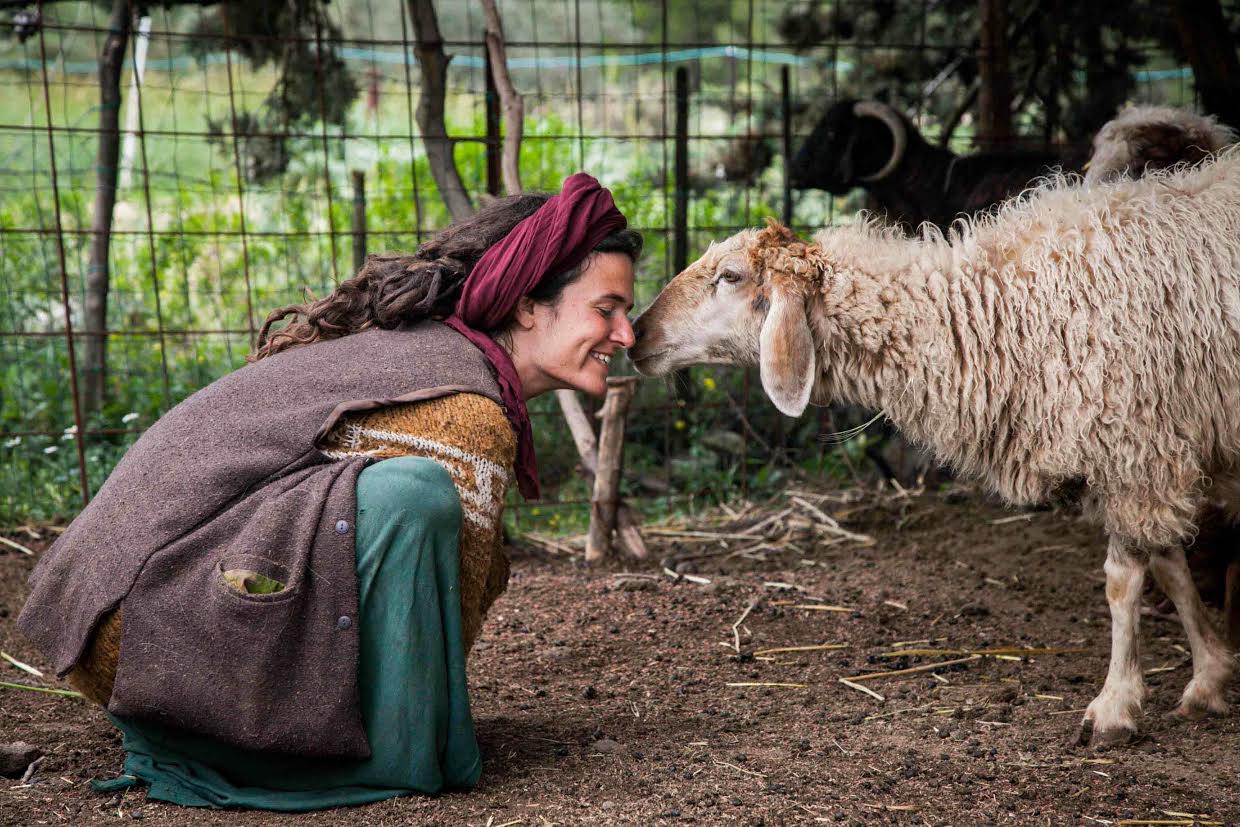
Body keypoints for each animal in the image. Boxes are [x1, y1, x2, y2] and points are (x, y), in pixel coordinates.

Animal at [634, 150, 1240, 748]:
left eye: (730, 276)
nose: (638, 333)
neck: (1006, 311)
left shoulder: (1135, 446)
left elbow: (1124, 581)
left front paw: (1115, 706)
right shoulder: (1149, 449)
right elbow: (1170, 566)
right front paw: (1209, 677)